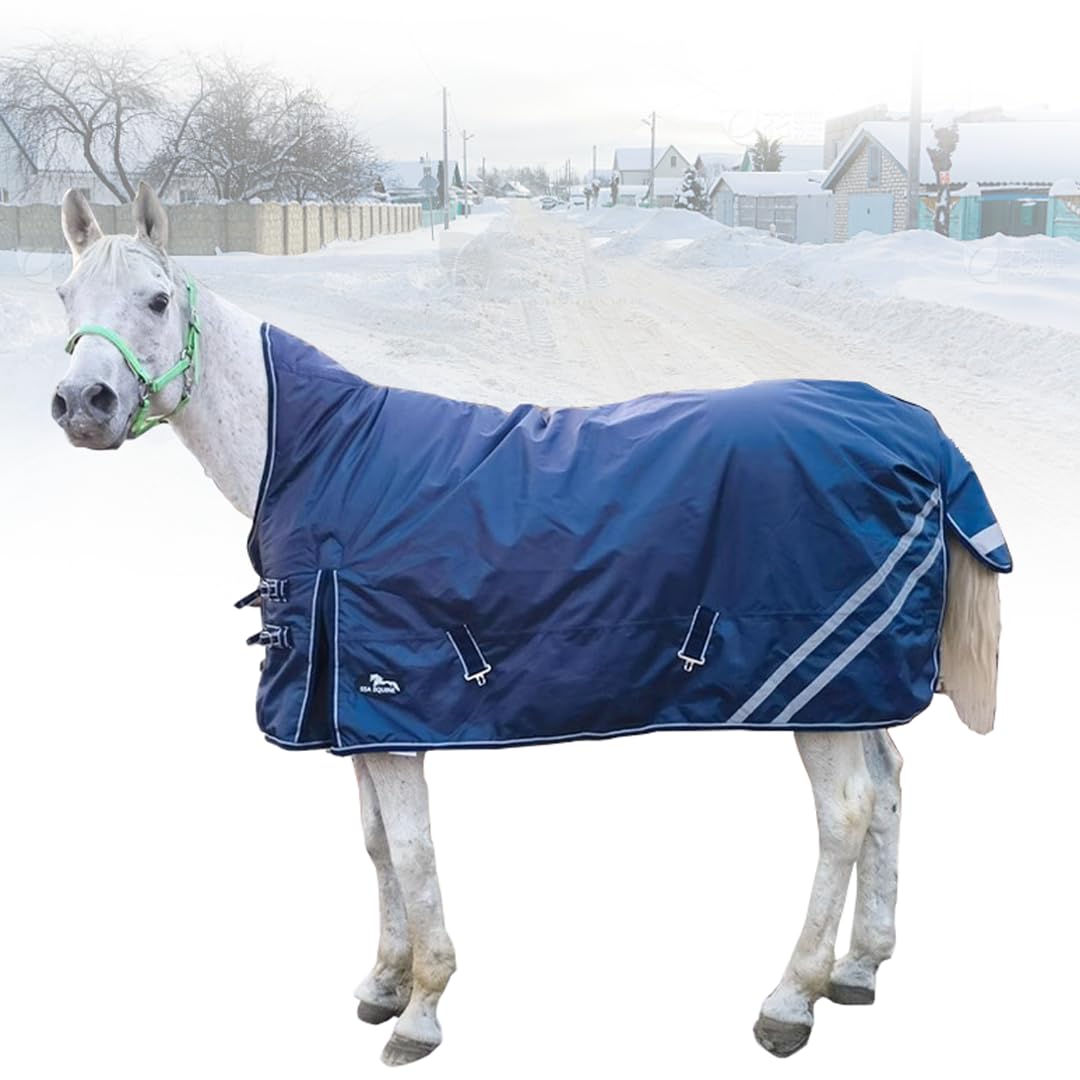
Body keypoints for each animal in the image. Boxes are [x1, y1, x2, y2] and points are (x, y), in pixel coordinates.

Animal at [50, 184, 1007, 1067]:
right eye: (65, 296)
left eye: (157, 301)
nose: (81, 402)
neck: (325, 459)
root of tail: (913, 428)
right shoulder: (354, 715)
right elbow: (376, 845)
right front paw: (383, 981)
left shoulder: (392, 713)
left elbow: (412, 852)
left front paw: (422, 1008)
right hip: (857, 685)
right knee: (888, 787)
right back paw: (861, 968)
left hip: (820, 694)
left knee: (844, 814)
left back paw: (791, 999)